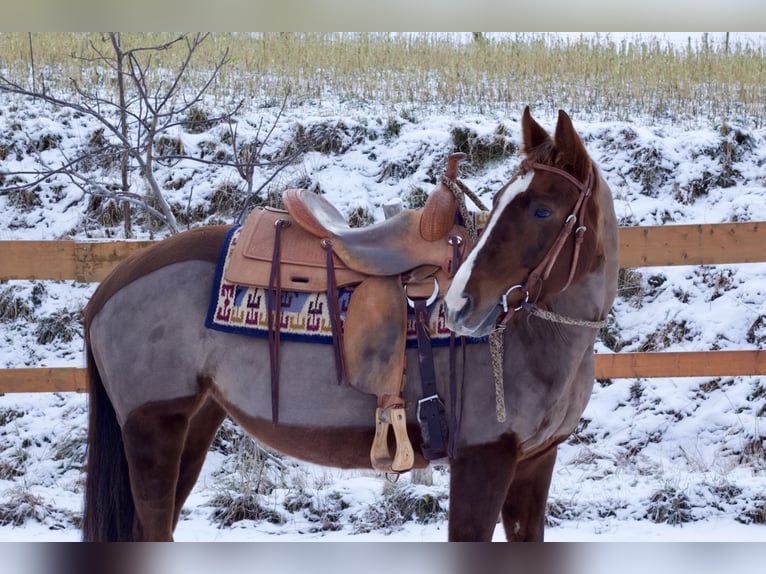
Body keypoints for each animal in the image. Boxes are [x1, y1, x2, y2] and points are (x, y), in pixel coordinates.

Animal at [82, 106, 618, 542]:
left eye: (543, 209)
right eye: (505, 199)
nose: (461, 305)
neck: (540, 340)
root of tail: (109, 286)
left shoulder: (535, 463)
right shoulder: (483, 459)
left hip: (196, 421)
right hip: (153, 427)